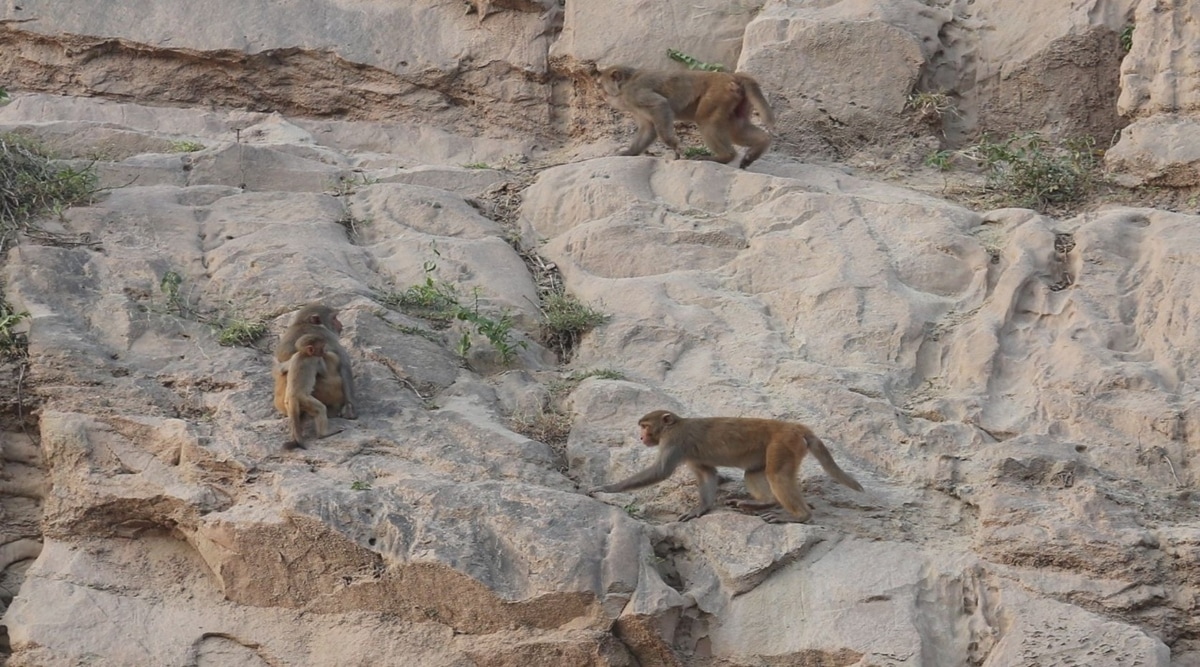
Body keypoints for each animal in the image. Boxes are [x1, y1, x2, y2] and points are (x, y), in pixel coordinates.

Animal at [591, 410, 863, 523]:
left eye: (645, 426)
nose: (641, 437)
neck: (674, 425)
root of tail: (796, 427)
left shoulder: (674, 442)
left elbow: (661, 472)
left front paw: (608, 488)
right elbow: (707, 475)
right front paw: (701, 508)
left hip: (784, 444)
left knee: (777, 475)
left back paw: (800, 516)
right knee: (752, 473)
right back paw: (764, 502)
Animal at [597, 65, 776, 169]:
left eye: (600, 85)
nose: (601, 95)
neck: (625, 86)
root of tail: (731, 76)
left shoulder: (635, 93)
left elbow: (660, 105)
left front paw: (675, 146)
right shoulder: (636, 107)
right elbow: (648, 129)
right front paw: (630, 152)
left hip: (718, 95)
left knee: (706, 122)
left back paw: (723, 157)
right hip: (737, 100)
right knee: (736, 128)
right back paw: (760, 145)